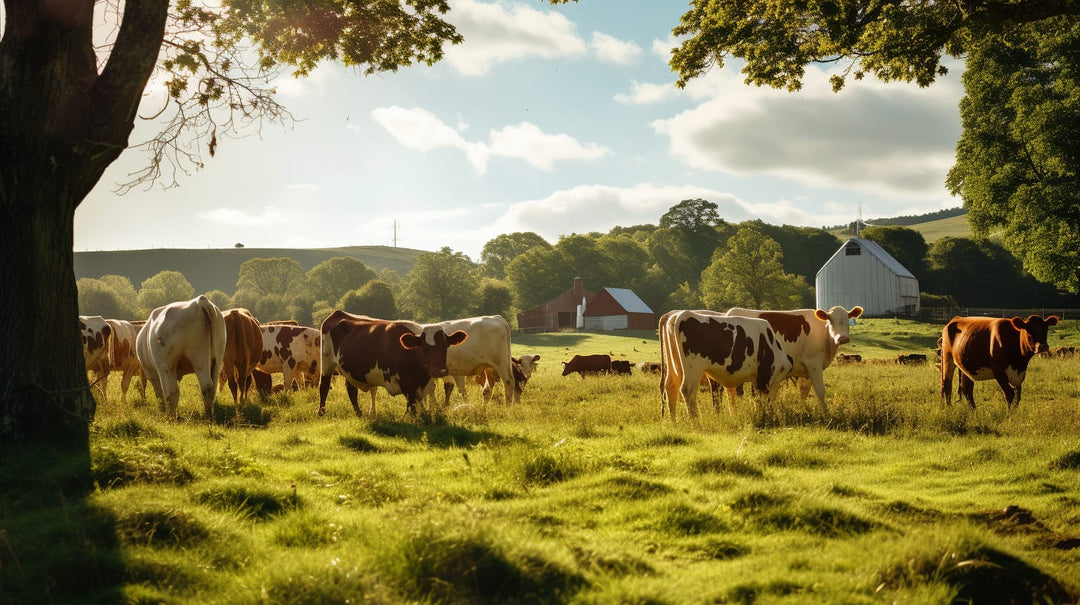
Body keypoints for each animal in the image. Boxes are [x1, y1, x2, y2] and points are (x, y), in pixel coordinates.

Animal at [315, 308, 468, 419]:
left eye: (446, 346)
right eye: (424, 347)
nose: (440, 371)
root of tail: (338, 313)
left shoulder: (422, 386)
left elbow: (419, 405)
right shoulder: (407, 385)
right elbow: (411, 406)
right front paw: (409, 419)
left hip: (349, 370)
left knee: (351, 389)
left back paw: (359, 413)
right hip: (326, 362)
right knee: (324, 386)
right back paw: (321, 412)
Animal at [721, 306, 864, 410]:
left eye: (847, 320)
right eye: (830, 320)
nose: (843, 338)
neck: (824, 334)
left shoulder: (805, 371)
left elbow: (804, 392)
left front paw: (802, 410)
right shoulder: (814, 364)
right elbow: (820, 391)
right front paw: (826, 413)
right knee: (731, 392)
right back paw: (733, 413)